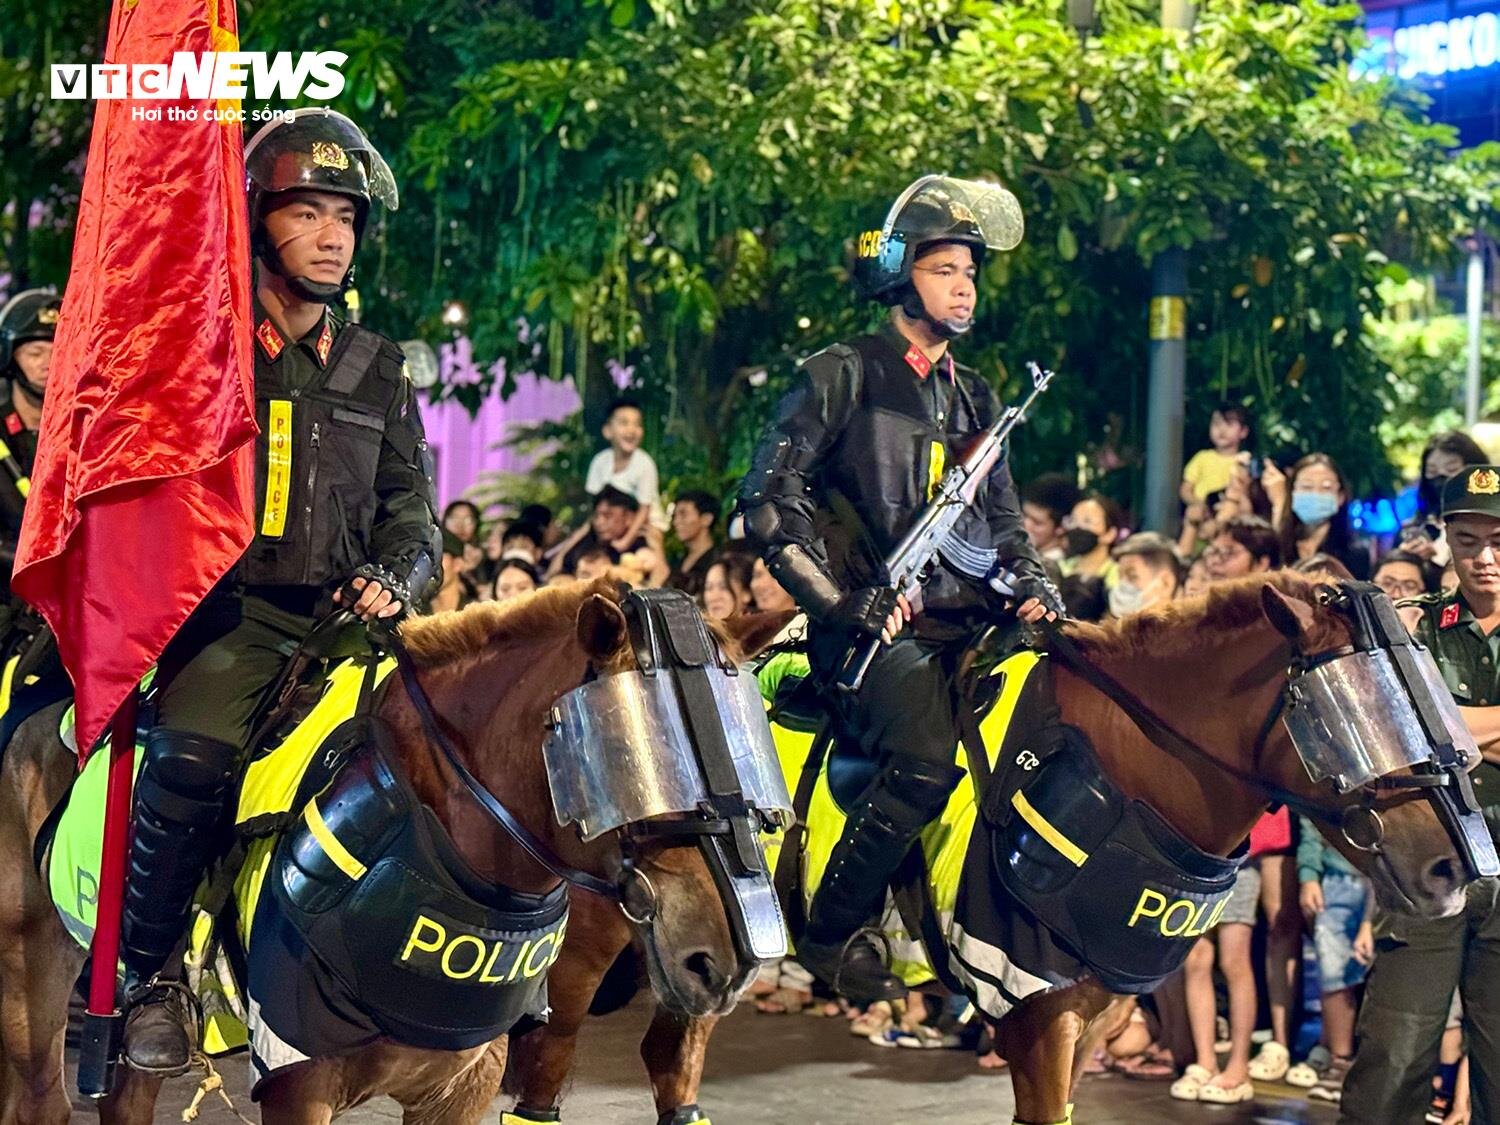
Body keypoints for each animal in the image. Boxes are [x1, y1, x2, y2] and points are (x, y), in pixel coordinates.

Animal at [0, 582, 786, 1125]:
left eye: (753, 746)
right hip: (30, 973)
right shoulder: (297, 1085)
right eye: (631, 756)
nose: (726, 959)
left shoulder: (461, 1089)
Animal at [504, 576, 1476, 1125]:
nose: (1450, 868)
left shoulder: (1094, 1016)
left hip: (708, 957)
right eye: (1363, 712)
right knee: (546, 1069)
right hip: (589, 953)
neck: (1119, 761)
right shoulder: (1036, 1012)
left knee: (672, 1061)